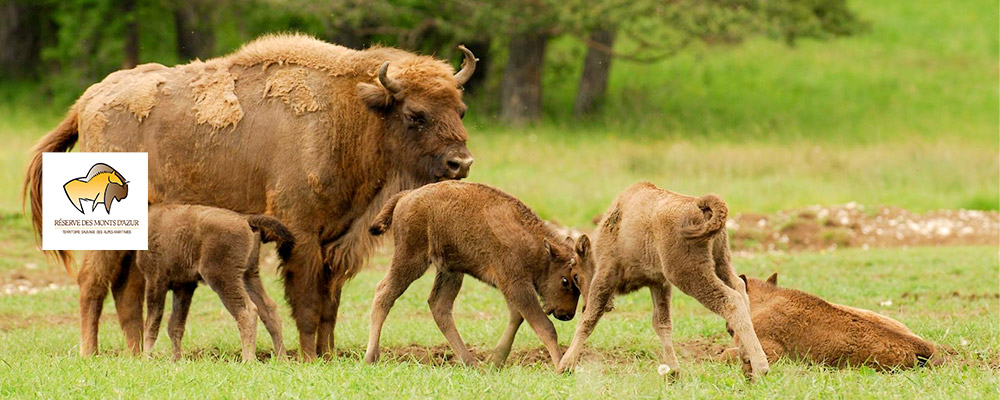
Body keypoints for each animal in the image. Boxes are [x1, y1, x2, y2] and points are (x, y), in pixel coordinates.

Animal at [138, 205, 292, 360]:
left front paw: (146, 359)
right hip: (248, 276)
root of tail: (245, 218)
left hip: (222, 278)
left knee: (247, 311)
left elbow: (152, 324)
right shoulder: (184, 286)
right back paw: (282, 359)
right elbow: (175, 325)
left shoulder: (155, 280)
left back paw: (247, 360)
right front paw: (176, 360)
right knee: (269, 308)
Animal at [364, 183, 588, 368]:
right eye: (565, 280)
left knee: (439, 305)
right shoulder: (516, 284)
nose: (567, 314)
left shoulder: (510, 287)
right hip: (411, 260)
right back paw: (371, 357)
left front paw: (495, 361)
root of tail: (407, 195)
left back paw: (469, 362)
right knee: (384, 293)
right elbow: (544, 326)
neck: (536, 247)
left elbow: (517, 316)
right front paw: (561, 366)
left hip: (450, 271)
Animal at [560, 183, 768, 380]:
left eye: (576, 275)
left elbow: (589, 320)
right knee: (740, 289)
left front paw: (564, 366)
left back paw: (761, 368)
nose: (583, 305)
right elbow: (662, 324)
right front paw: (674, 372)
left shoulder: (604, 277)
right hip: (721, 263)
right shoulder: (658, 284)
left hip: (690, 274)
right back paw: (746, 357)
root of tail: (699, 205)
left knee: (731, 301)